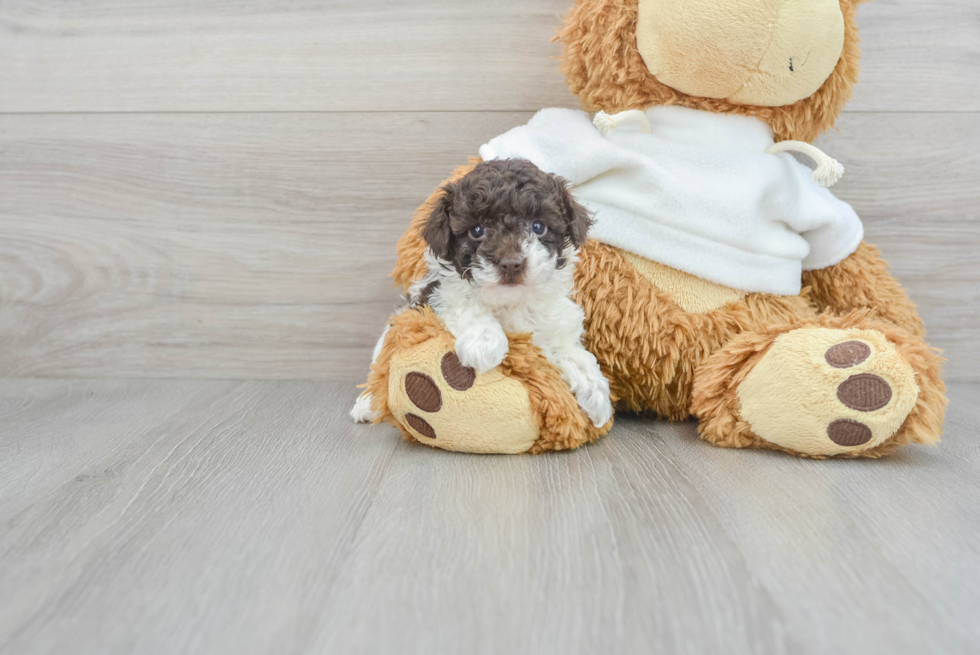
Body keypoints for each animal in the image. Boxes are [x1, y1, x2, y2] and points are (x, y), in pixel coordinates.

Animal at [352, 156, 612, 428]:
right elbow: (464, 303)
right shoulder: (434, 294)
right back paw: (367, 404)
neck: (510, 302)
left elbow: (570, 350)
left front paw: (595, 391)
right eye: (477, 231)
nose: (511, 264)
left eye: (538, 226)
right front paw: (485, 343)